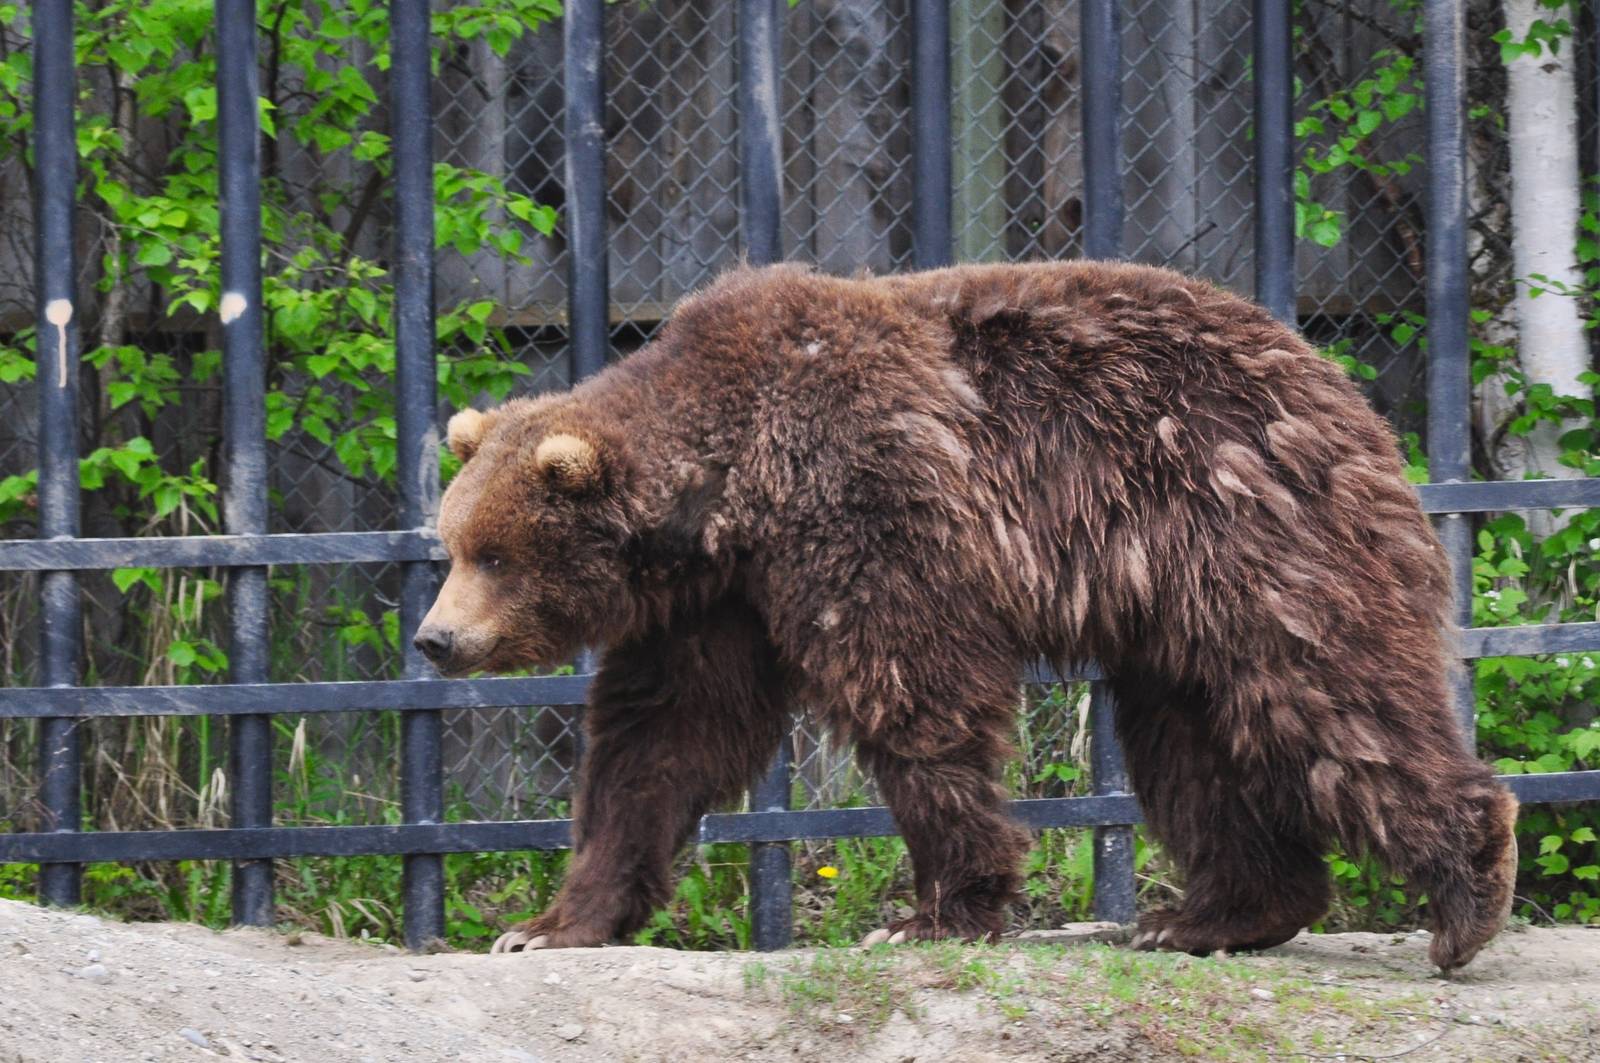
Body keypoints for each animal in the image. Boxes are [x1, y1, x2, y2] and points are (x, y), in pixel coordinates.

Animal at [414, 260, 1519, 971]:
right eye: (453, 542)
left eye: (496, 554)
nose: (435, 637)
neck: (727, 490)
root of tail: (1349, 391)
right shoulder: (717, 602)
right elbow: (658, 741)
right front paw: (545, 923)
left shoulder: (866, 500)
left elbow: (914, 691)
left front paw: (933, 909)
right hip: (1177, 605)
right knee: (1191, 739)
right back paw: (1210, 914)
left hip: (1247, 523)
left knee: (1326, 692)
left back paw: (1469, 886)